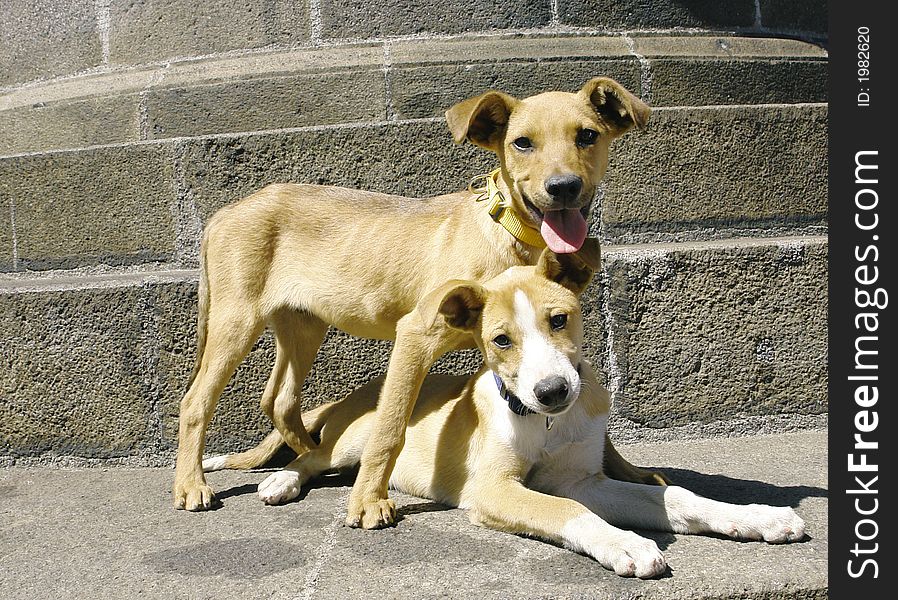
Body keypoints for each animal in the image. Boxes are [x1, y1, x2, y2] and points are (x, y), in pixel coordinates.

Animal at [173, 77, 664, 512]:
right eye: (522, 143)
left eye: (587, 136)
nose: (563, 188)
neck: (509, 234)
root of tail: (224, 213)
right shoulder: (415, 335)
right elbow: (390, 428)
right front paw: (369, 502)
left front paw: (630, 472)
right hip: (236, 321)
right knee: (196, 401)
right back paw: (192, 485)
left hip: (303, 326)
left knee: (280, 402)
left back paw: (302, 457)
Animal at [208, 246, 804, 580]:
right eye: (501, 340)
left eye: (559, 320)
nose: (553, 391)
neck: (546, 424)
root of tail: (360, 390)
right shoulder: (494, 489)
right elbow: (567, 513)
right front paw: (626, 544)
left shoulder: (582, 479)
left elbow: (677, 498)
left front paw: (760, 517)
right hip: (356, 438)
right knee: (314, 458)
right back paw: (282, 481)